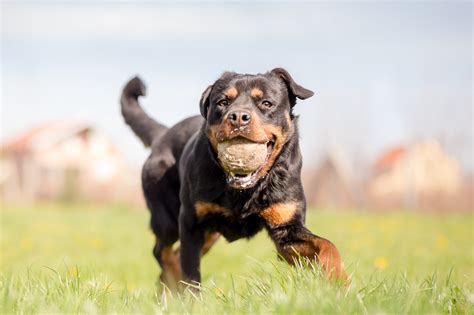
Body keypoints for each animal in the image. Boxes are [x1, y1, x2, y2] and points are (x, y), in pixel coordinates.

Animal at [120, 68, 346, 288]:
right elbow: (191, 275)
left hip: (209, 234)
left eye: (266, 103)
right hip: (168, 219)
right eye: (222, 102)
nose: (238, 116)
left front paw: (338, 279)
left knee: (172, 256)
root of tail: (163, 134)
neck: (245, 190)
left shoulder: (286, 228)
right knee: (163, 252)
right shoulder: (191, 222)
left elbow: (328, 246)